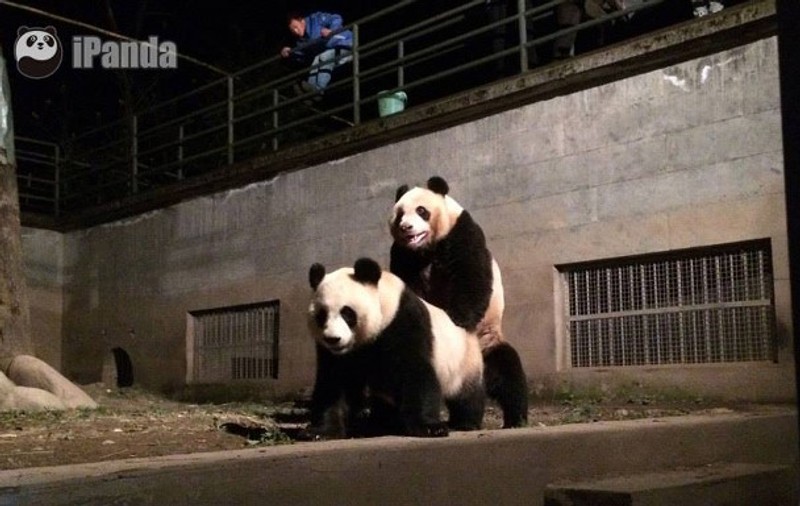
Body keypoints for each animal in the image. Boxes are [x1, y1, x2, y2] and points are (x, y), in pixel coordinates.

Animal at [306, 257, 485, 439]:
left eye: (347, 313)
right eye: (322, 315)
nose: (333, 339)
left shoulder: (403, 321)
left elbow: (415, 371)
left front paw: (429, 427)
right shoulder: (335, 353)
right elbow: (333, 382)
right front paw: (320, 432)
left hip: (464, 361)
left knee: (466, 394)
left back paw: (465, 422)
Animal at [389, 176, 528, 428]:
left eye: (421, 211)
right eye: (399, 214)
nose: (406, 228)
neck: (425, 248)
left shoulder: (461, 233)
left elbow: (470, 275)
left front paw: (457, 316)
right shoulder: (403, 254)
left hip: (485, 341)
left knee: (506, 372)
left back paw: (513, 419)